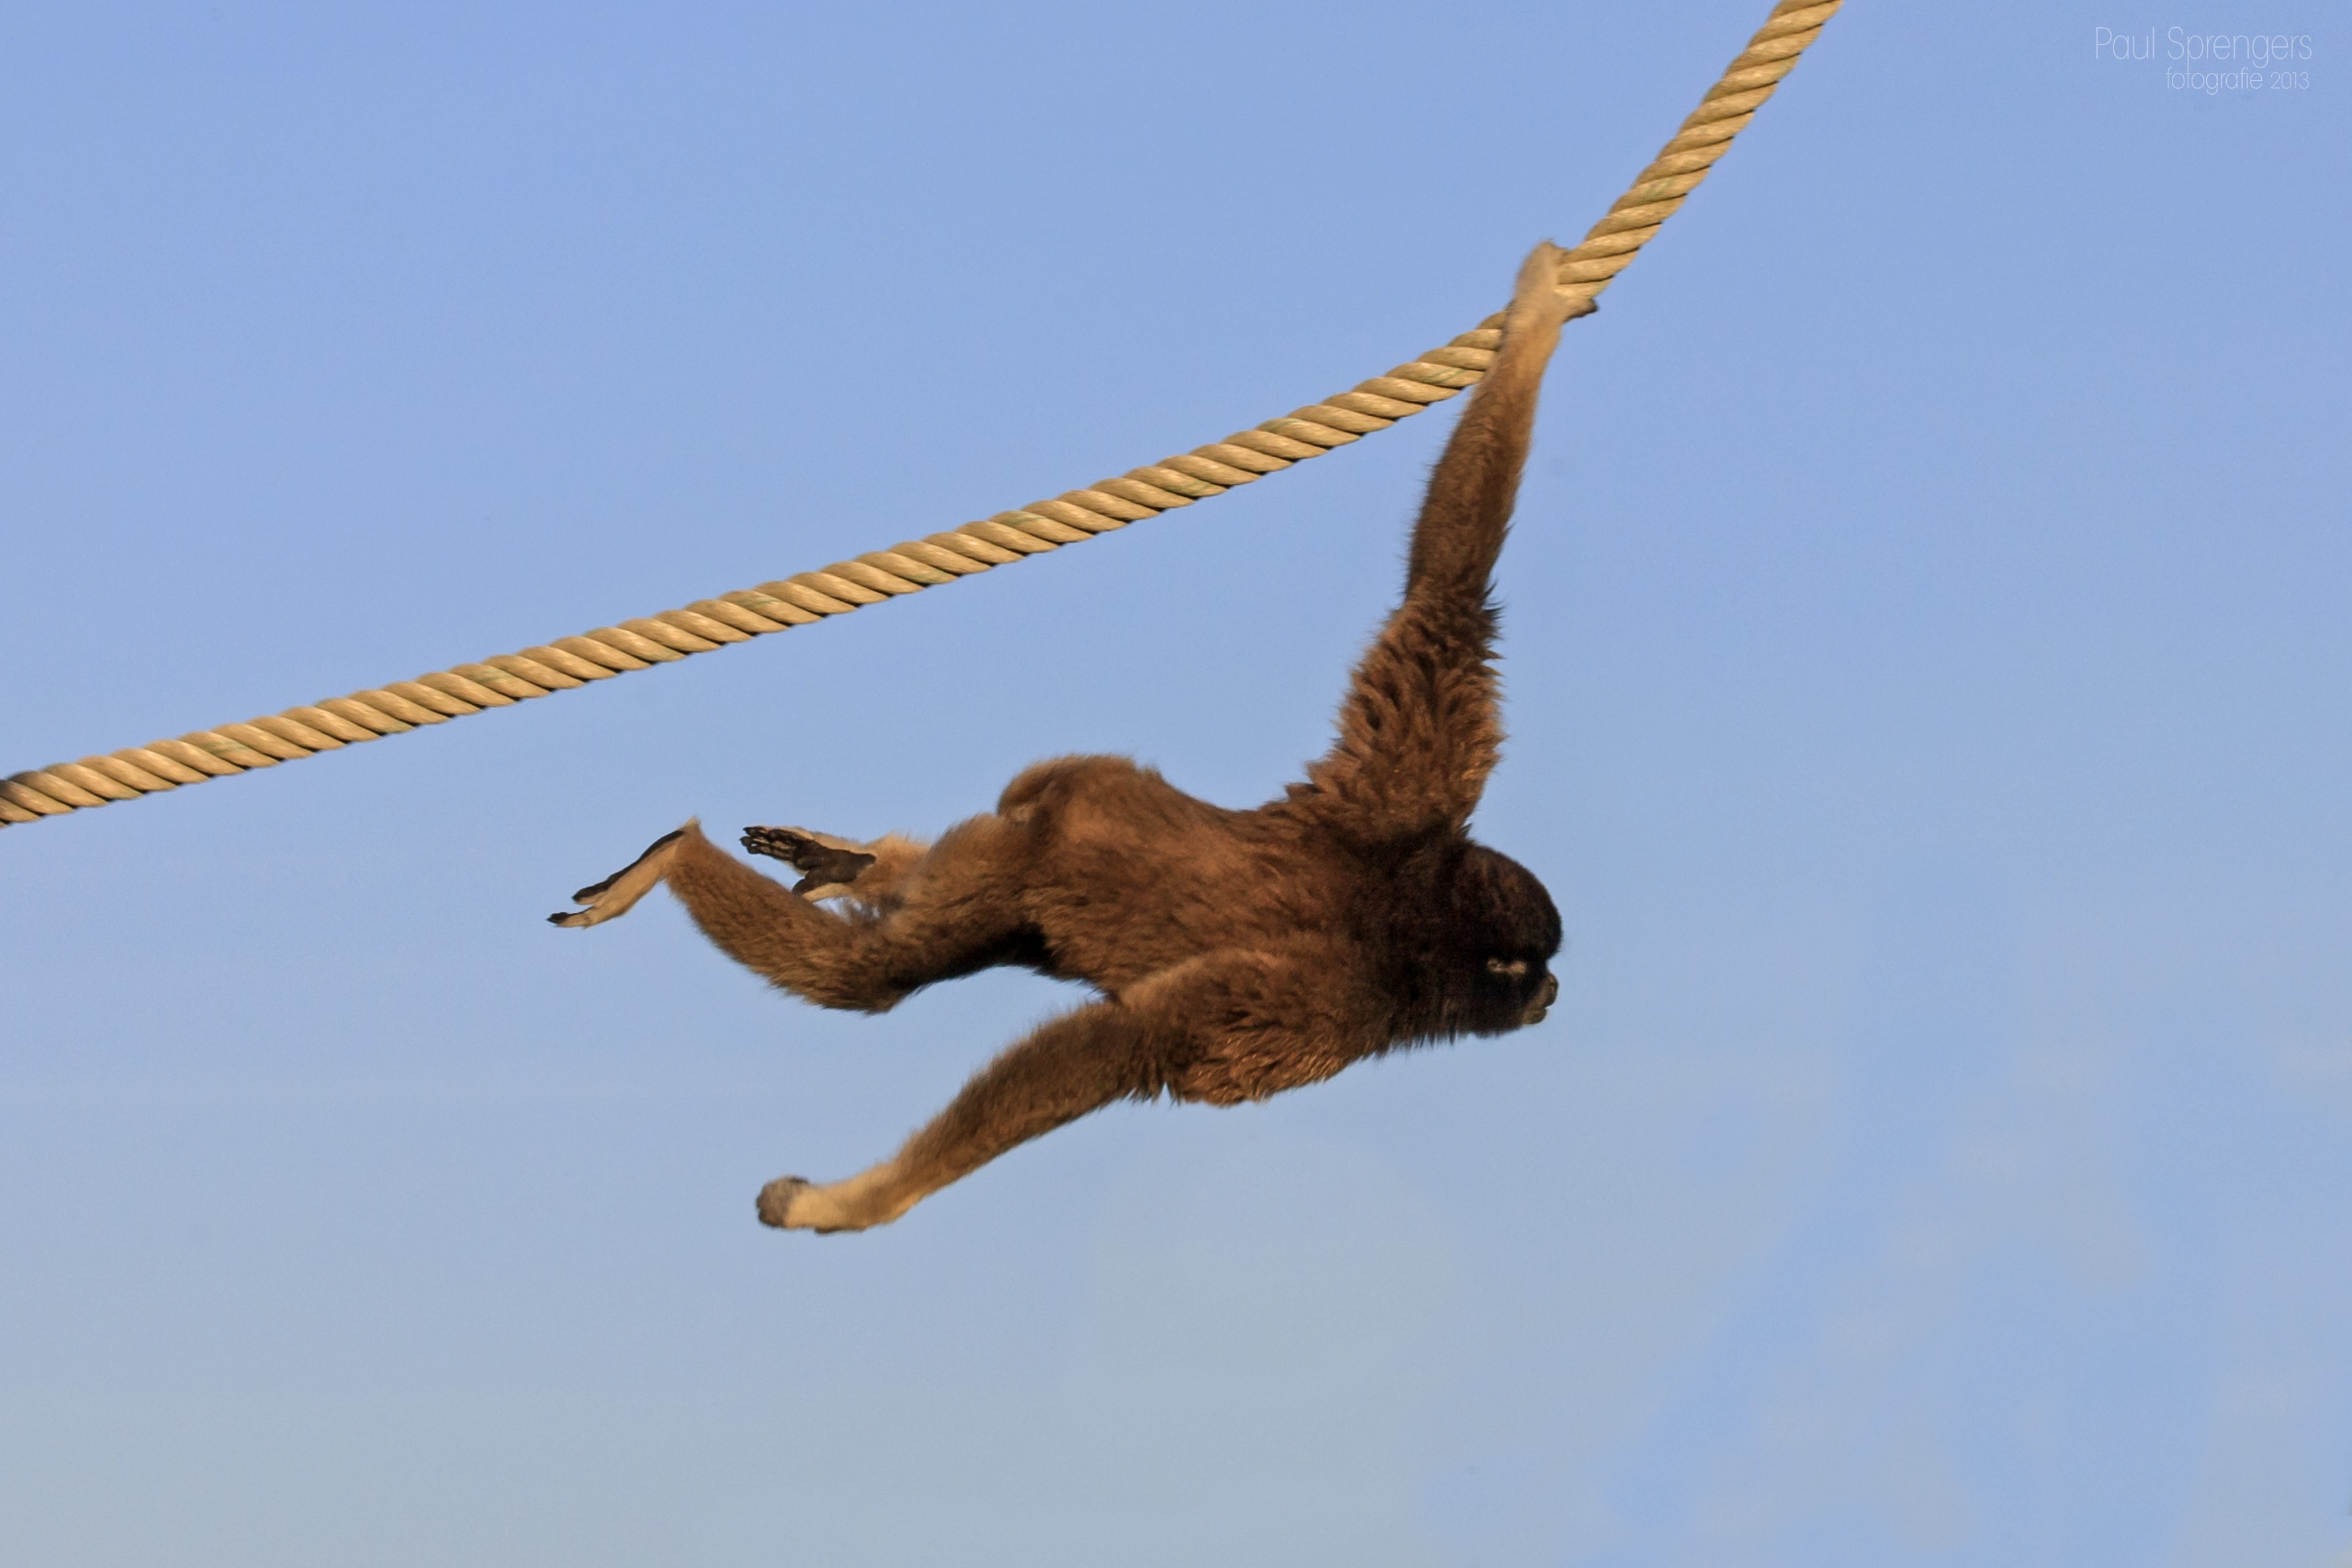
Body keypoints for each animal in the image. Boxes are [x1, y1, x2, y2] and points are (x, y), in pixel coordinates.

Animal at [551, 241, 1588, 1232]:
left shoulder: (1402, 806)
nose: (1552, 995)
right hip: (1024, 850)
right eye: (1535, 966)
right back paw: (677, 856)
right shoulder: (1340, 994)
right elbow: (1126, 1044)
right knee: (871, 976)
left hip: (1032, 837)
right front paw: (860, 1202)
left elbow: (1442, 593)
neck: (1412, 907)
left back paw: (856, 863)